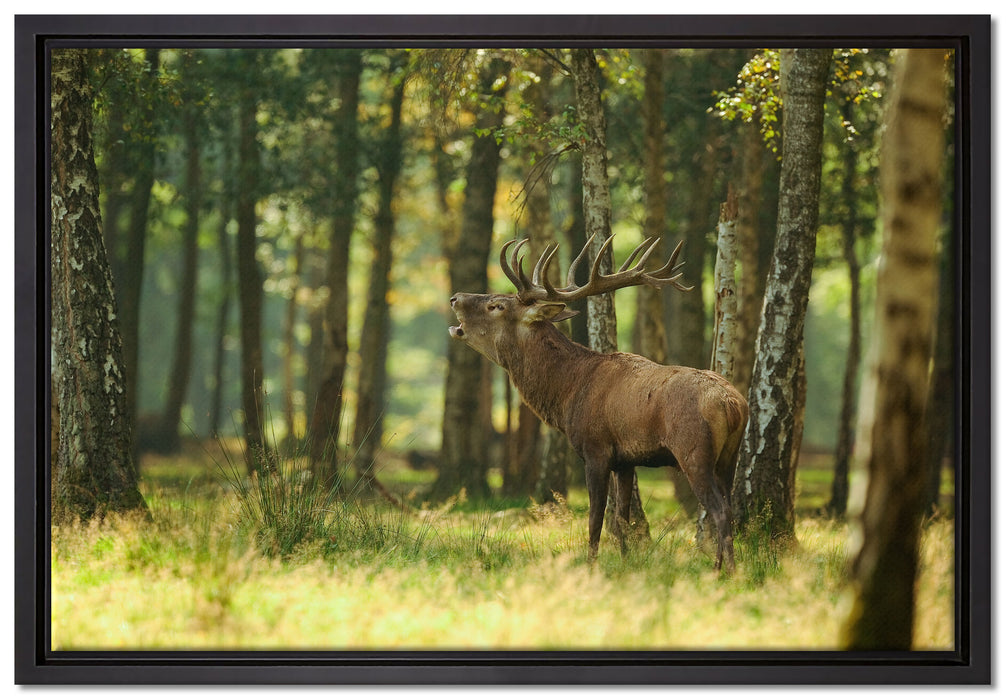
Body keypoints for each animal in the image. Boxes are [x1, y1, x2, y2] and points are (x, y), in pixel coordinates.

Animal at [448, 234, 748, 572]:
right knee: (729, 507)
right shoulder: (626, 461)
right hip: (729, 457)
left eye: (496, 305)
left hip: (693, 451)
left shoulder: (595, 449)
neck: (567, 393)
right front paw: (626, 562)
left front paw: (590, 565)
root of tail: (733, 404)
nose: (455, 297)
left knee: (719, 510)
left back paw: (725, 571)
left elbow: (595, 519)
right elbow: (621, 520)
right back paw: (721, 566)